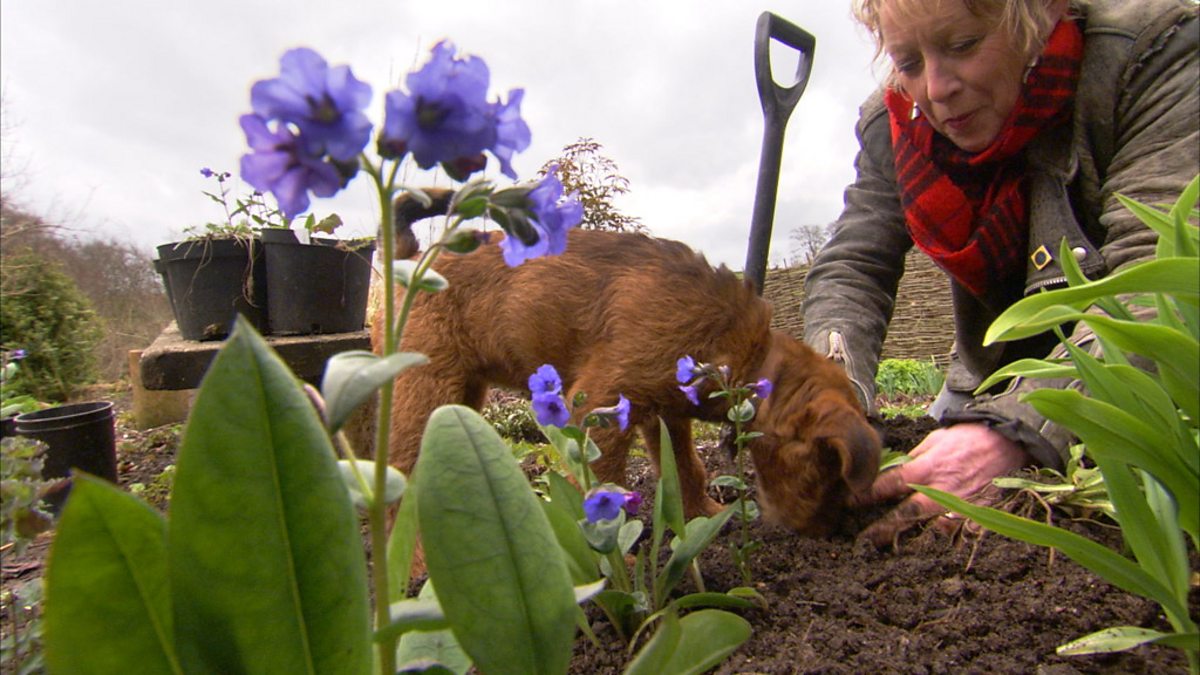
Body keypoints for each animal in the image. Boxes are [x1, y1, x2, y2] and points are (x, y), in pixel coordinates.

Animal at [376, 192, 883, 533]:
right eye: (827, 471)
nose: (829, 535)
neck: (743, 351)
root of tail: (410, 259)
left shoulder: (665, 413)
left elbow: (686, 469)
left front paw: (704, 518)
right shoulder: (597, 406)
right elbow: (604, 485)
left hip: (464, 389)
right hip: (424, 384)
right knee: (401, 479)